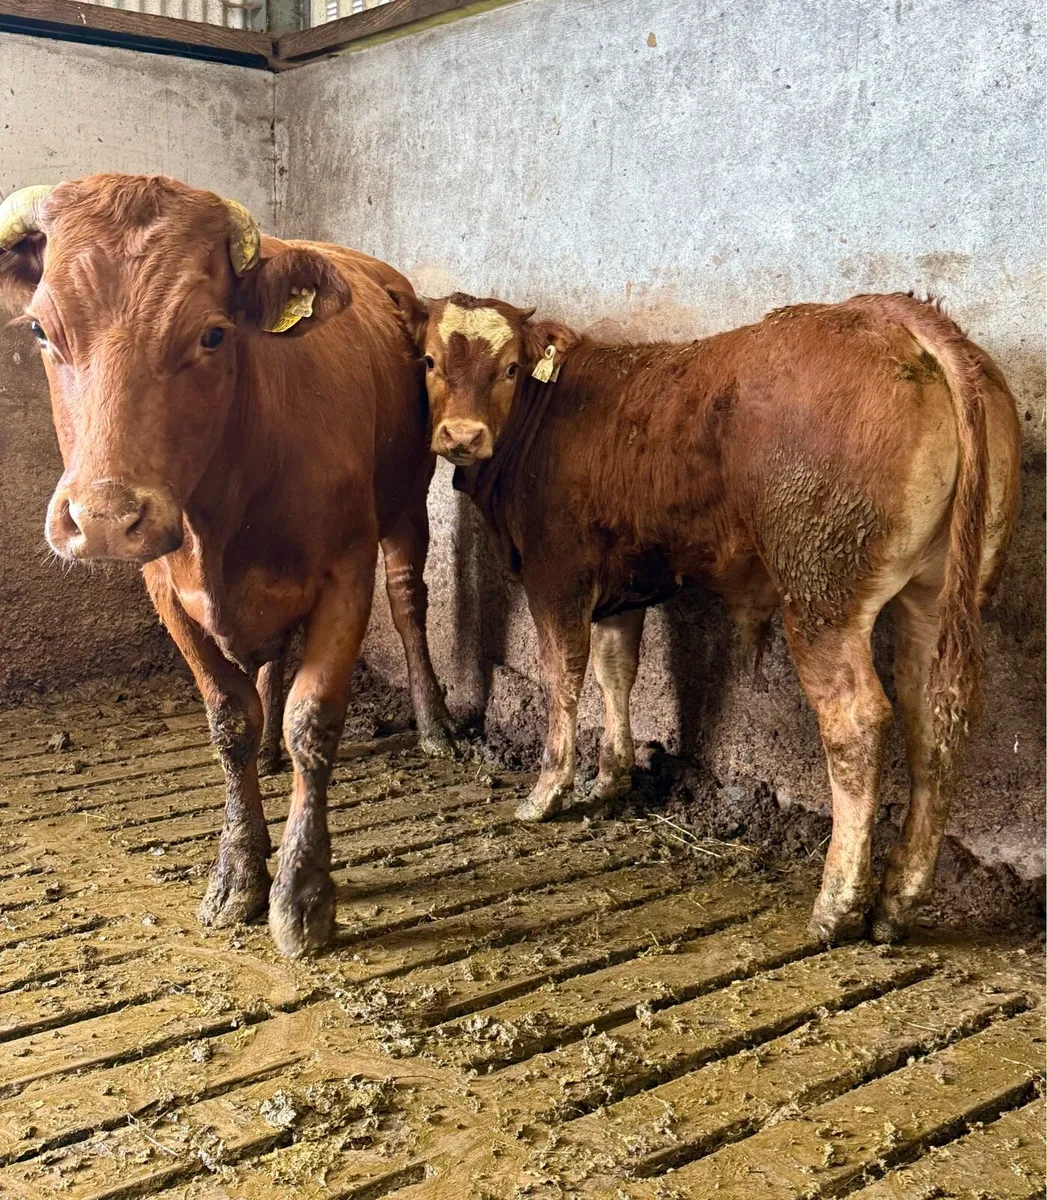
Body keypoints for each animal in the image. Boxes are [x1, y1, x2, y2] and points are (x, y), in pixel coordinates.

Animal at [0, 174, 455, 958]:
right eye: (39, 331)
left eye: (212, 334)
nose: (104, 518)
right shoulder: (167, 589)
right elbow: (229, 721)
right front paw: (239, 870)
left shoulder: (346, 571)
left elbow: (314, 720)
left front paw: (303, 892)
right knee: (270, 665)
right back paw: (271, 751)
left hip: (404, 506)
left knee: (408, 603)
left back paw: (431, 725)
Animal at [389, 288, 1021, 944]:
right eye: (430, 360)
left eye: (511, 368)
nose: (462, 436)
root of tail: (893, 314)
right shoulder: (625, 585)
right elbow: (617, 673)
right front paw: (609, 779)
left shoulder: (557, 574)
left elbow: (563, 675)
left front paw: (547, 792)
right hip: (939, 597)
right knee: (934, 721)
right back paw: (898, 900)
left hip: (820, 591)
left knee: (856, 723)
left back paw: (837, 904)